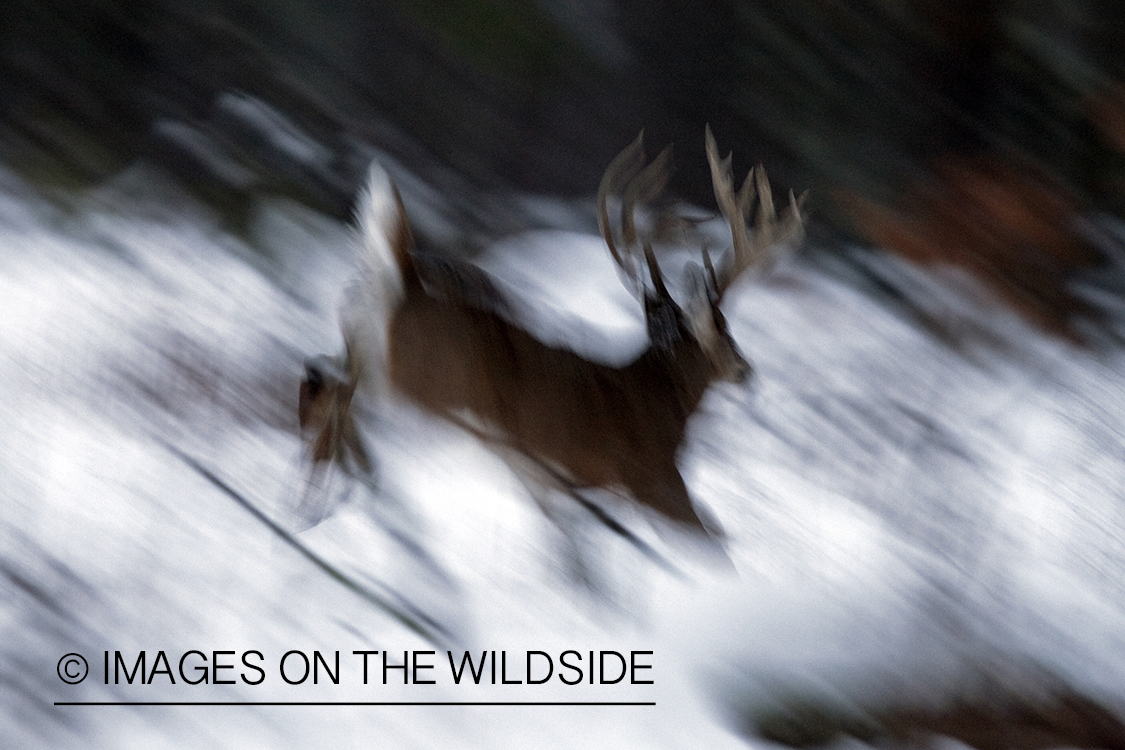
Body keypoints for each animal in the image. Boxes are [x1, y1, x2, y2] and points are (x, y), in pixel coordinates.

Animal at [301, 127, 801, 546]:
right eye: (724, 329)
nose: (746, 370)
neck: (657, 406)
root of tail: (405, 281)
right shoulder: (650, 479)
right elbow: (713, 538)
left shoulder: (568, 484)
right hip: (421, 384)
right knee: (344, 389)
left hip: (367, 340)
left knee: (325, 374)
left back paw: (323, 488)